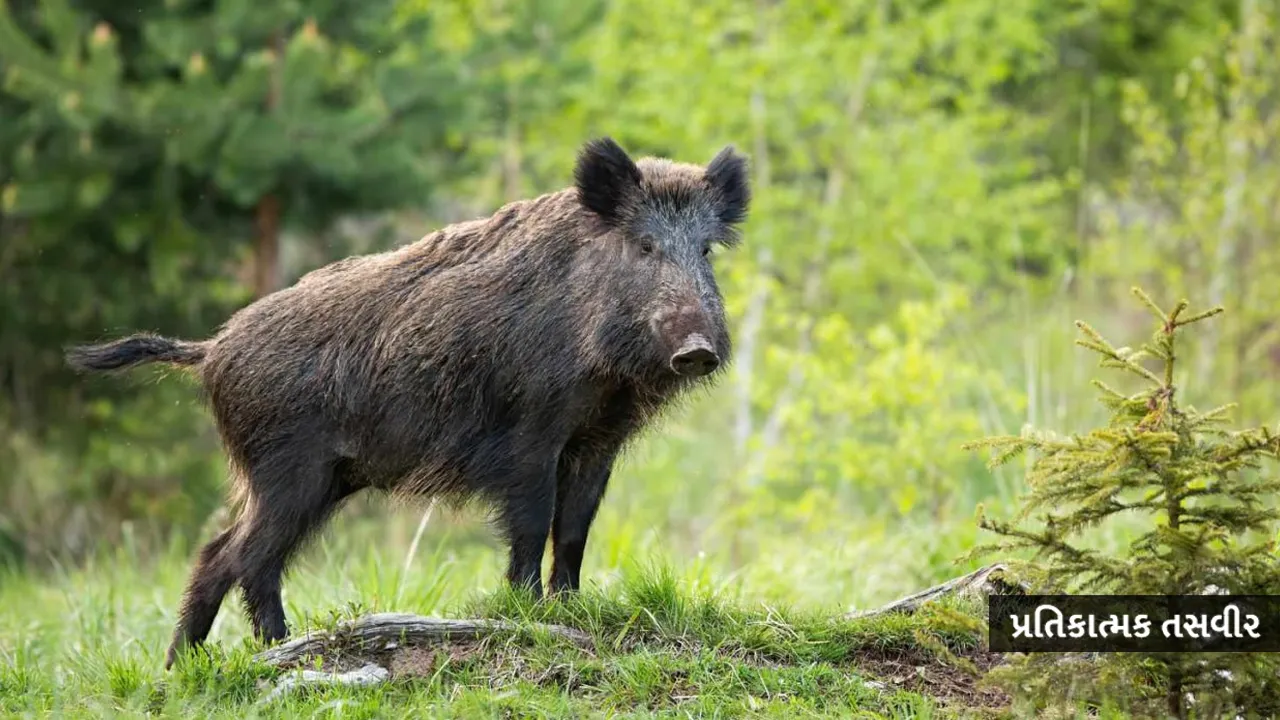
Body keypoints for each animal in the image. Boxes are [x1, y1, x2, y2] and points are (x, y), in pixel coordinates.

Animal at [65, 137, 750, 668]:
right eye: (644, 246)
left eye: (705, 250)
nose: (696, 349)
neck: (603, 373)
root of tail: (210, 350)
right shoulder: (530, 435)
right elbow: (533, 526)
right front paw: (528, 615)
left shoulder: (596, 441)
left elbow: (576, 530)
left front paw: (571, 611)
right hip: (290, 470)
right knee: (245, 556)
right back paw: (280, 649)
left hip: (316, 478)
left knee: (218, 553)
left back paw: (183, 668)